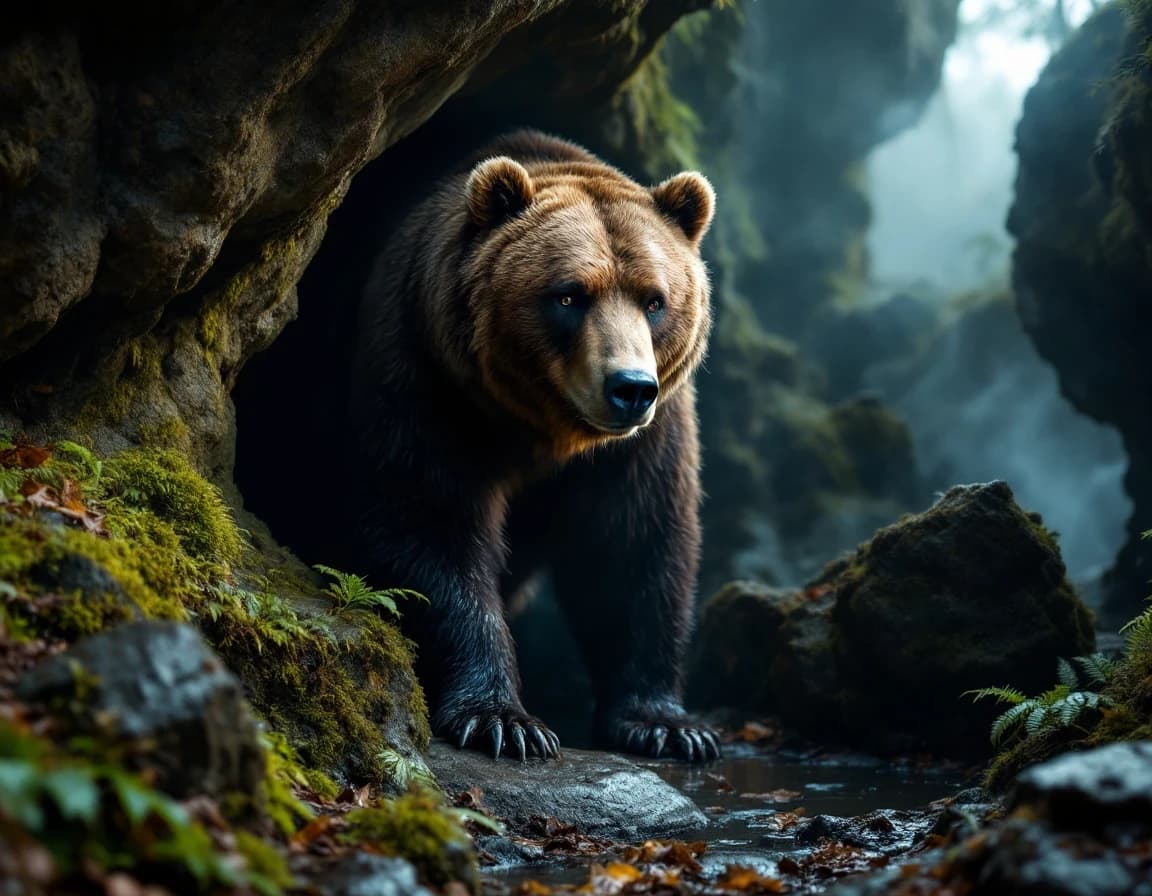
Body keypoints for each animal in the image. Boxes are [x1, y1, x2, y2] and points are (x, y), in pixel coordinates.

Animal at [350, 129, 719, 762]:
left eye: (654, 299)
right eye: (569, 295)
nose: (629, 388)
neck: (541, 431)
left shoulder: (642, 443)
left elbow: (633, 546)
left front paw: (668, 725)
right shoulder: (426, 380)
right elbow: (428, 527)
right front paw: (503, 720)